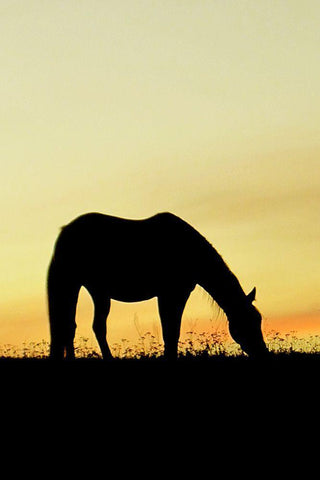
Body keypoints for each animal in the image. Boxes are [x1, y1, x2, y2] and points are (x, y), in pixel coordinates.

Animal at [47, 212, 268, 358]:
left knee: (77, 326)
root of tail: (65, 231)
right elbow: (170, 331)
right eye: (246, 322)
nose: (262, 352)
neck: (189, 250)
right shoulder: (171, 294)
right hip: (73, 285)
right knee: (73, 326)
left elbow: (172, 331)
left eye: (259, 320)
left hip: (95, 291)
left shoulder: (176, 294)